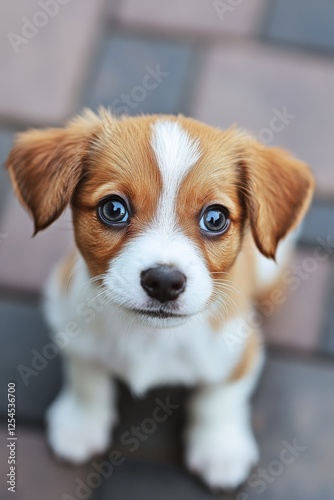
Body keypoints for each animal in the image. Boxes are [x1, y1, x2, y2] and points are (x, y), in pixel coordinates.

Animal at [5, 109, 314, 488]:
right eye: (113, 209)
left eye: (215, 218)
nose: (165, 282)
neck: (149, 337)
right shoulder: (70, 324)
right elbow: (86, 377)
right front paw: (81, 422)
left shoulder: (240, 352)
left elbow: (219, 400)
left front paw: (220, 449)